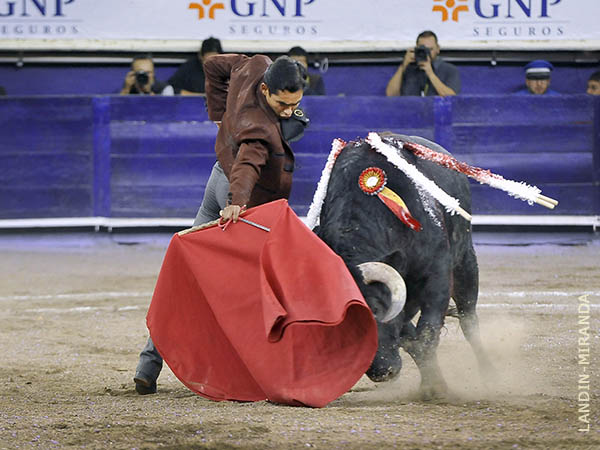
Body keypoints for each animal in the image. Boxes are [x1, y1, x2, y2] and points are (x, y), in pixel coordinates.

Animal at [314, 133, 492, 398]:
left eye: (377, 309)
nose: (382, 372)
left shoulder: (436, 276)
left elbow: (427, 331)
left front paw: (435, 389)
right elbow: (412, 339)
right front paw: (432, 384)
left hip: (466, 263)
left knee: (469, 320)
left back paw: (490, 374)